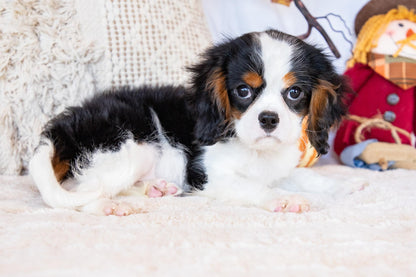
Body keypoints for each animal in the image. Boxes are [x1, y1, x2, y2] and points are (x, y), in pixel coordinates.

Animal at [29, 30, 360, 216]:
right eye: (243, 91)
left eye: (294, 93)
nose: (268, 119)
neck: (255, 151)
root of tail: (62, 128)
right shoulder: (212, 177)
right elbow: (255, 187)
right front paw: (286, 199)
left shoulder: (278, 170)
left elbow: (303, 176)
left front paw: (344, 186)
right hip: (130, 147)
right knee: (81, 190)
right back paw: (111, 206)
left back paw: (155, 189)